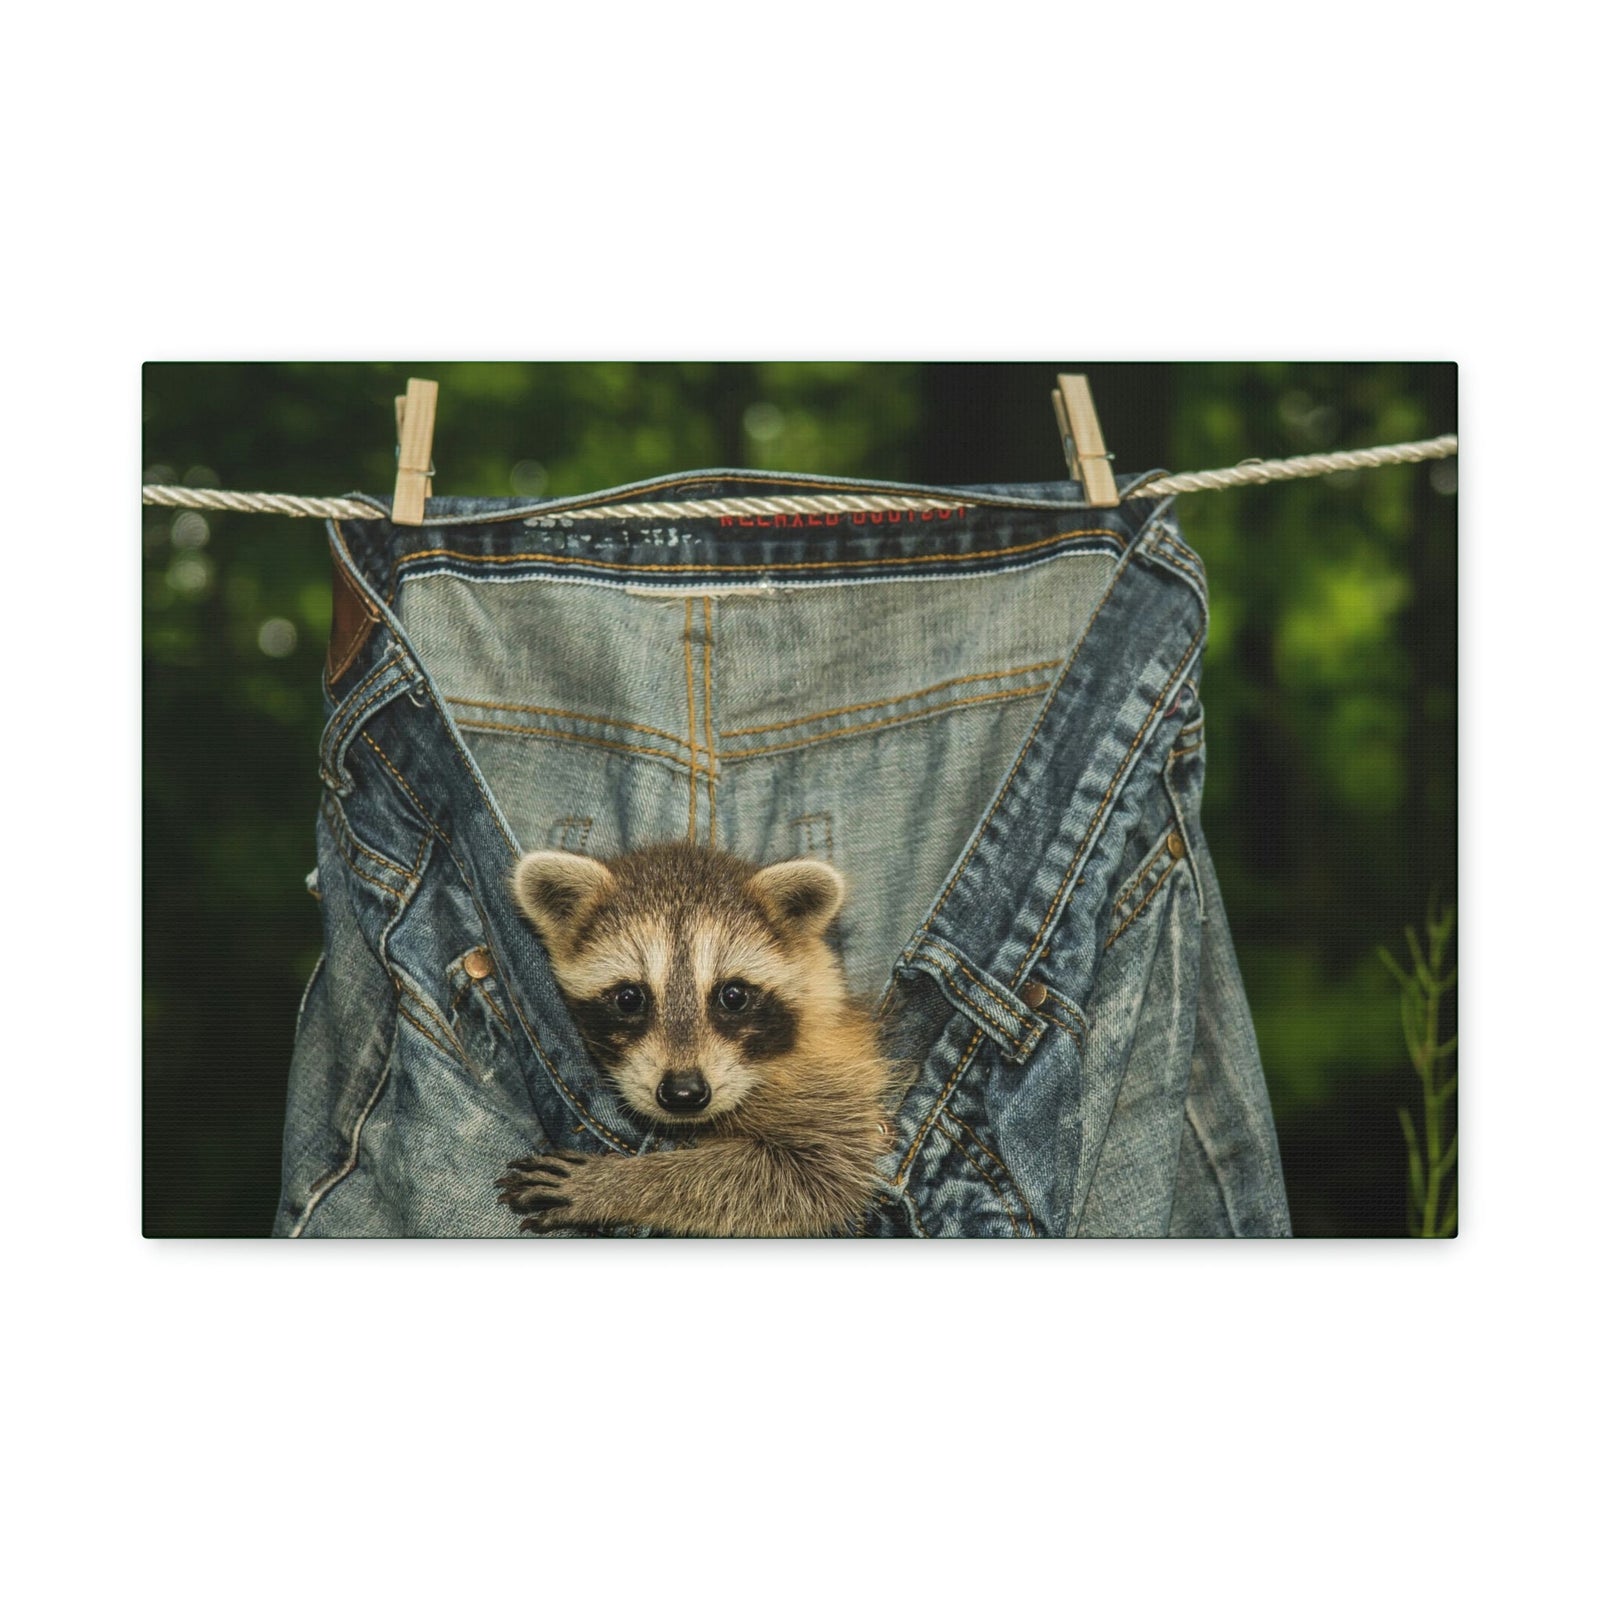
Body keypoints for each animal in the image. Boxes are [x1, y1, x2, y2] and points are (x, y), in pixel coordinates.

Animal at [495, 841, 897, 1238]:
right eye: (629, 998)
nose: (683, 1093)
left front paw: (619, 1183)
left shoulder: (832, 1081)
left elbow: (811, 1175)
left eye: (733, 996)